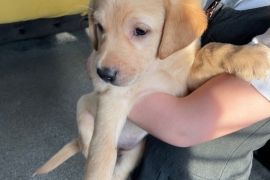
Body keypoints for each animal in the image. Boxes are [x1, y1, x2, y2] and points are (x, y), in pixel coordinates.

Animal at [34, 0, 270, 179]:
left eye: (140, 31)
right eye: (100, 27)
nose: (103, 74)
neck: (157, 66)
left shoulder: (187, 84)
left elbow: (211, 50)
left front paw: (252, 56)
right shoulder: (112, 100)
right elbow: (100, 156)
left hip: (135, 152)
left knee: (119, 172)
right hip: (83, 104)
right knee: (88, 144)